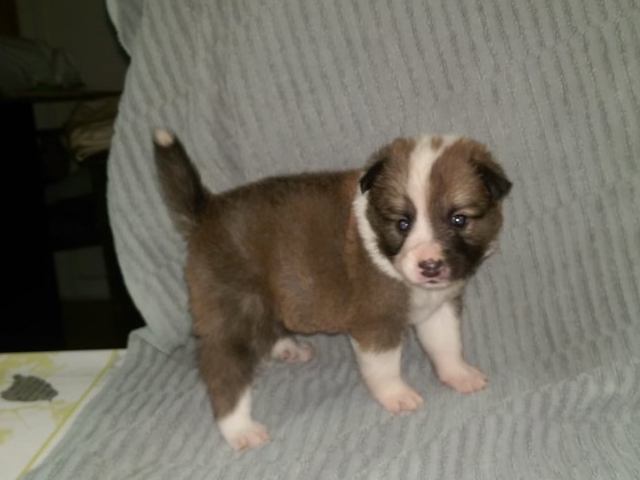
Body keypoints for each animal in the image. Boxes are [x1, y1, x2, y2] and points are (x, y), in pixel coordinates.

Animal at [153, 129, 512, 451]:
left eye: (459, 219)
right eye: (403, 223)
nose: (430, 266)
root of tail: (206, 210)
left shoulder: (439, 308)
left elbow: (446, 345)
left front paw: (459, 375)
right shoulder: (375, 323)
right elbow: (384, 367)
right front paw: (397, 395)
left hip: (267, 296)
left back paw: (290, 349)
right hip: (234, 310)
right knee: (222, 372)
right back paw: (241, 430)